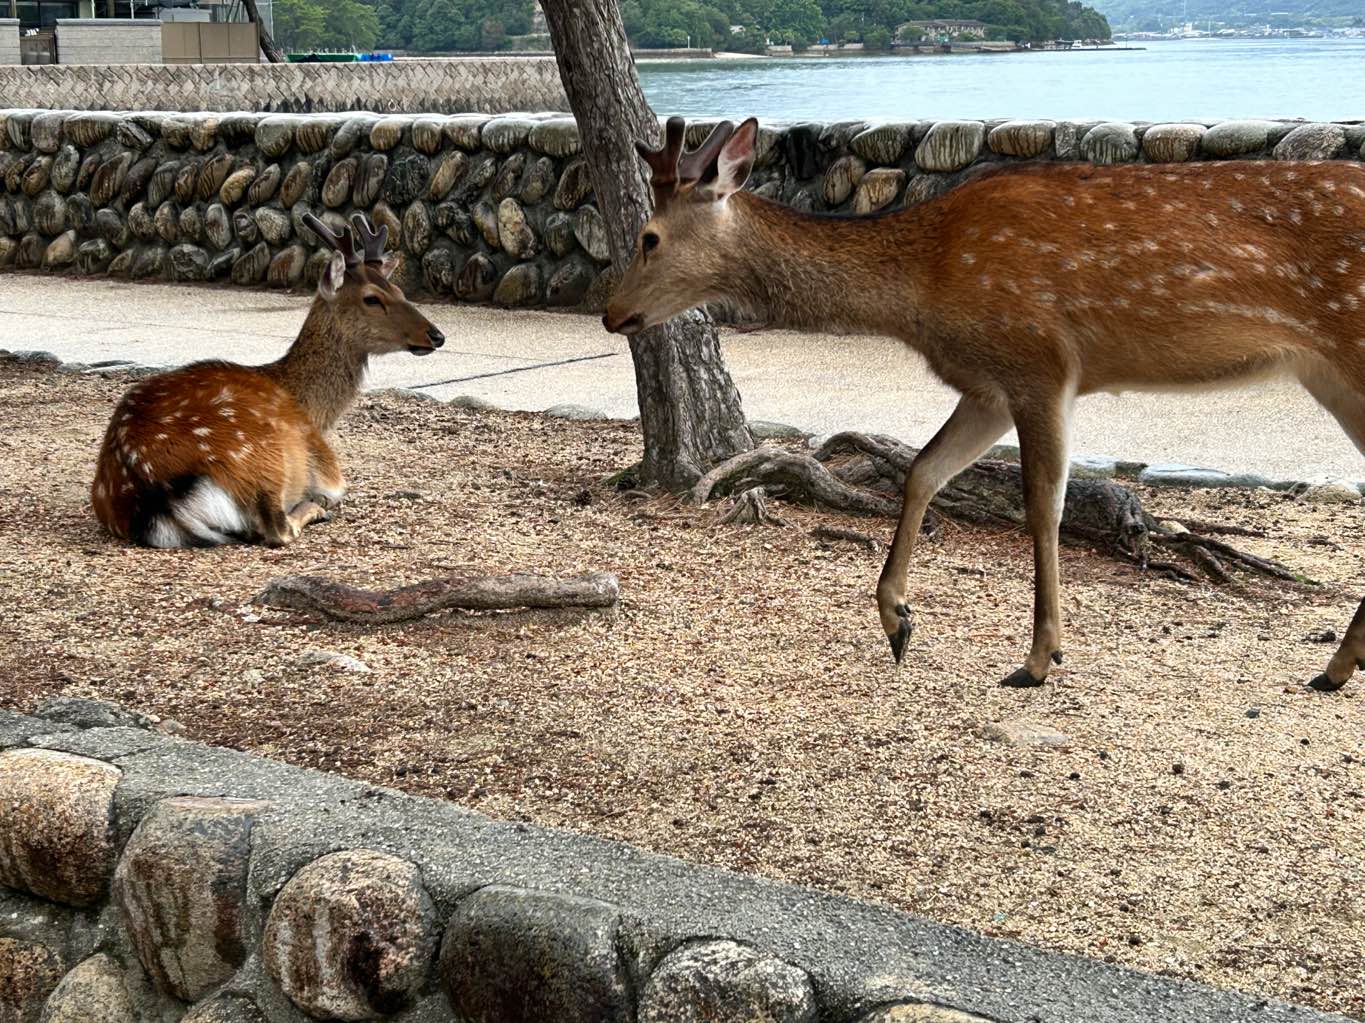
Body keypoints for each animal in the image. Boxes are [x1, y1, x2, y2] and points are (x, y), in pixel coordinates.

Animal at [91, 213, 445, 549]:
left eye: (398, 290)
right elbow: (334, 490)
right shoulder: (325, 464)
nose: (436, 335)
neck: (311, 408)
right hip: (265, 461)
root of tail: (152, 495)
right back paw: (313, 510)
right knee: (278, 529)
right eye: (371, 298)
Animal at [603, 115, 1365, 692]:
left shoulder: (1038, 362)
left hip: (1350, 346)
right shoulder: (986, 387)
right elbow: (923, 471)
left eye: (648, 237)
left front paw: (1038, 657)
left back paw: (1336, 663)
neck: (923, 285)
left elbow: (1042, 504)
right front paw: (897, 621)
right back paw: (1333, 666)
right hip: (1327, 373)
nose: (611, 312)